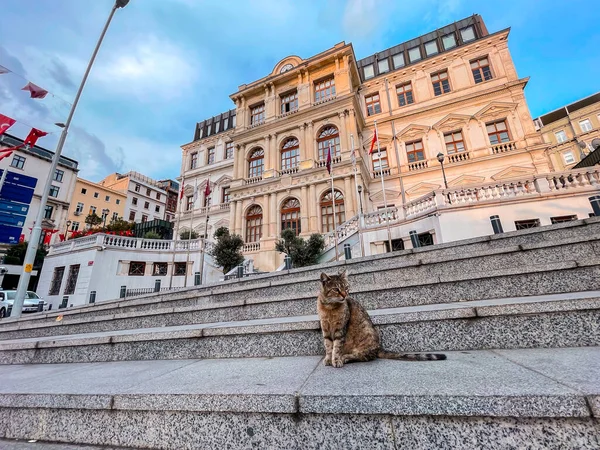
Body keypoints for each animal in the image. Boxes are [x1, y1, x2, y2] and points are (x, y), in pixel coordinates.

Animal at [318, 268, 446, 368]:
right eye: (336, 289)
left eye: (346, 287)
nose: (345, 295)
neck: (329, 308)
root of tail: (379, 347)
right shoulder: (325, 329)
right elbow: (328, 346)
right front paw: (328, 359)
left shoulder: (340, 330)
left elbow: (336, 347)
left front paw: (336, 360)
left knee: (363, 356)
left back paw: (344, 357)